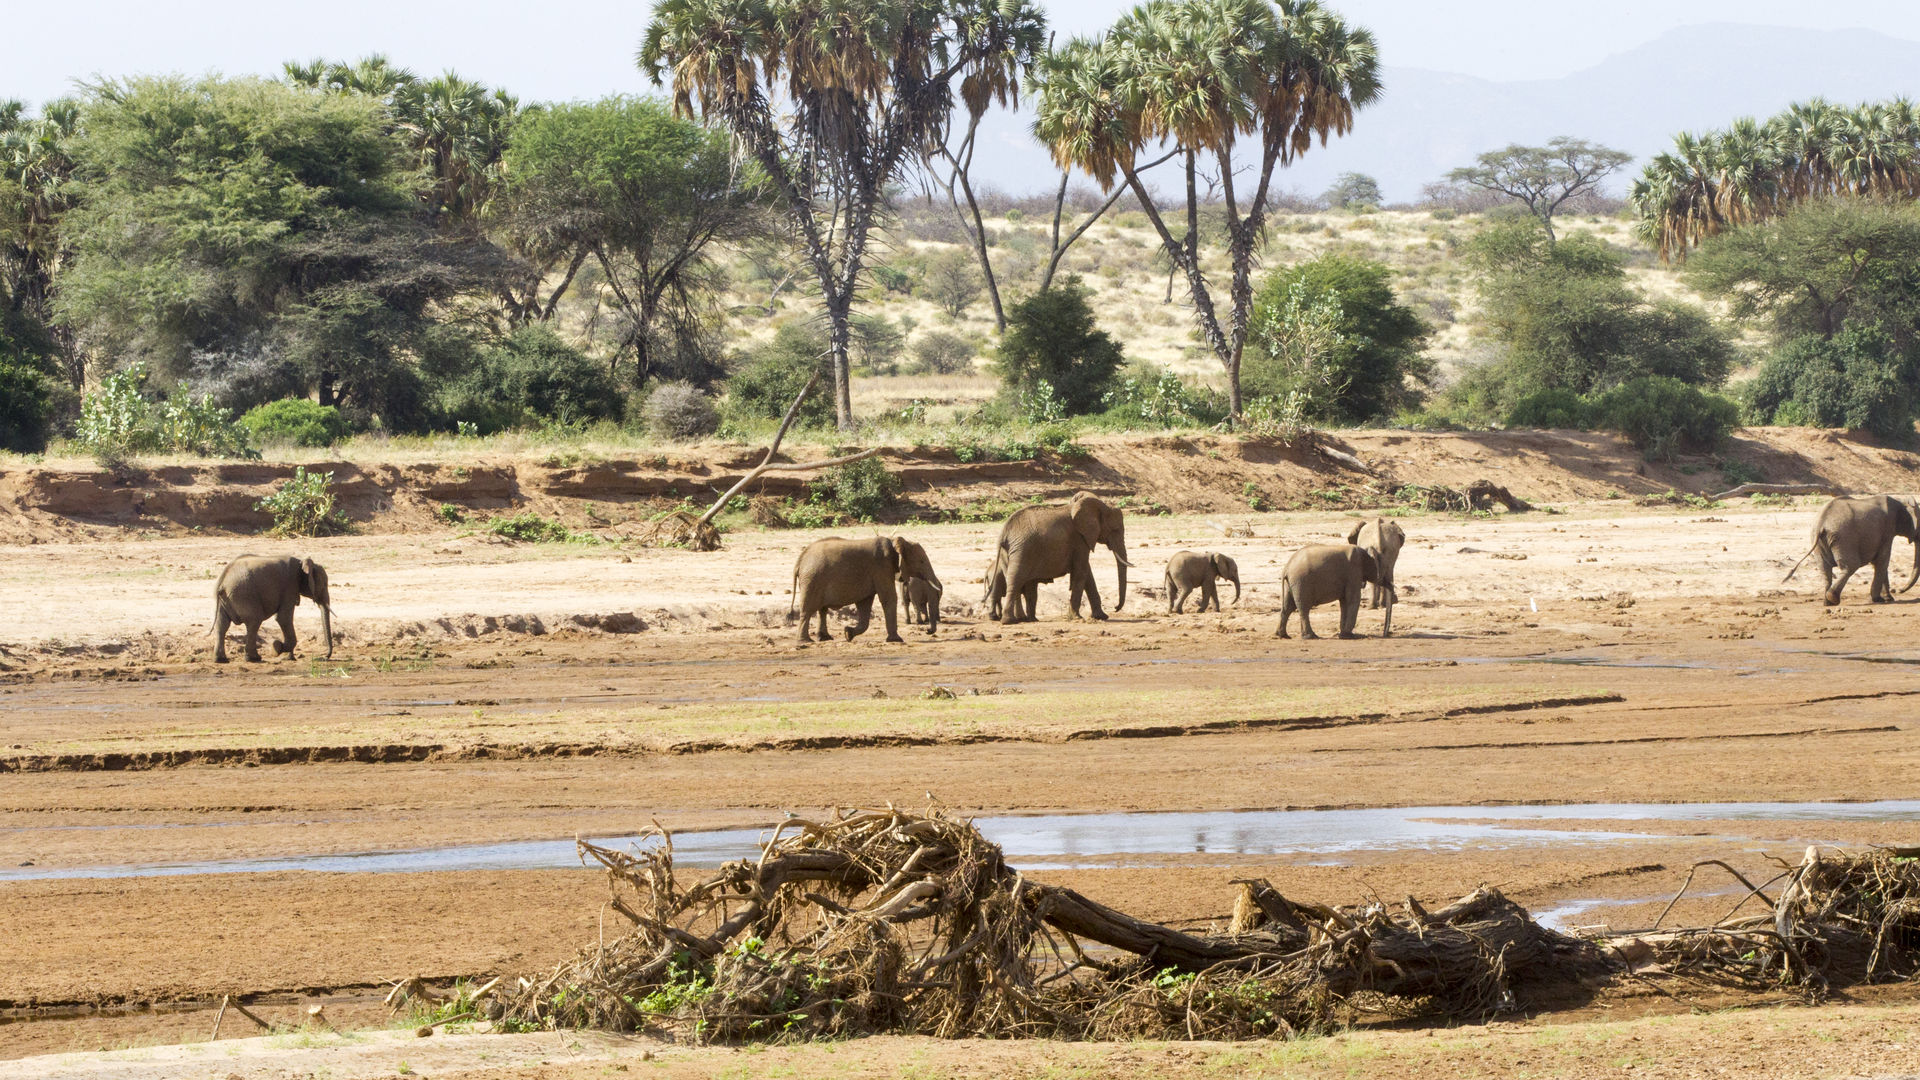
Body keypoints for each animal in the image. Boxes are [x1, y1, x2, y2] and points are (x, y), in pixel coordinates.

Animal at [791, 530, 940, 638]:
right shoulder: (881, 567)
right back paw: (805, 641)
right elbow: (889, 598)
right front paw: (897, 640)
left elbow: (865, 603)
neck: (895, 541)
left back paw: (824, 638)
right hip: (812, 579)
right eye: (921, 561)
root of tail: (800, 560)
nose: (927, 631)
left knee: (822, 609)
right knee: (808, 609)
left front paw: (848, 633)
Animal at [990, 490, 1121, 622]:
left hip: (1008, 553)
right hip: (1021, 550)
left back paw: (1024, 620)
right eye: (1115, 530)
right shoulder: (1079, 540)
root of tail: (1004, 533)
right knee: (1016, 580)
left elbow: (1087, 573)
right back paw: (1011, 621)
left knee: (1015, 580)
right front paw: (1077, 618)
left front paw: (1101, 617)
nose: (1116, 608)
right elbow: (1081, 572)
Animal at [1781, 491, 1920, 599]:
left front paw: (1887, 598)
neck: (1899, 499)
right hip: (1844, 537)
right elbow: (1882, 560)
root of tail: (1821, 522)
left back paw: (1827, 601)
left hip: (1819, 540)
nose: (1899, 590)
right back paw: (1832, 598)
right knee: (1851, 566)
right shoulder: (1887, 530)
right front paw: (1880, 599)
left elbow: (1880, 562)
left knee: (1825, 568)